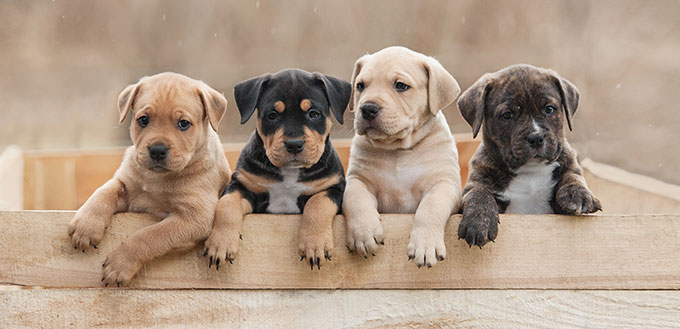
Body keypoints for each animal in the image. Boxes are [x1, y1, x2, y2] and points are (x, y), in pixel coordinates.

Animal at [68, 72, 231, 284]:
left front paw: (120, 264)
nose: (157, 150)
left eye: (183, 123)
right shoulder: (125, 184)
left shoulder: (194, 218)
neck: (157, 178)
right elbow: (103, 193)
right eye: (143, 120)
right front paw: (86, 225)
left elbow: (150, 235)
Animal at [202, 68, 350, 270]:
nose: (294, 144)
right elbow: (226, 206)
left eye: (313, 114)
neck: (289, 172)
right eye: (272, 115)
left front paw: (314, 245)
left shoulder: (334, 188)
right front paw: (220, 244)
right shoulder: (242, 187)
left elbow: (317, 204)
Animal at [346, 46, 462, 266]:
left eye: (400, 86)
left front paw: (425, 245)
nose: (367, 108)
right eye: (360, 86)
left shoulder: (444, 183)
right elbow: (355, 199)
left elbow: (430, 208)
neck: (398, 150)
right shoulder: (358, 179)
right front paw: (364, 233)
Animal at [456, 63, 600, 246]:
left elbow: (572, 176)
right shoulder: (475, 184)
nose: (536, 137)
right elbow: (478, 193)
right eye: (507, 115)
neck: (530, 170)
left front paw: (578, 195)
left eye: (549, 109)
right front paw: (478, 222)